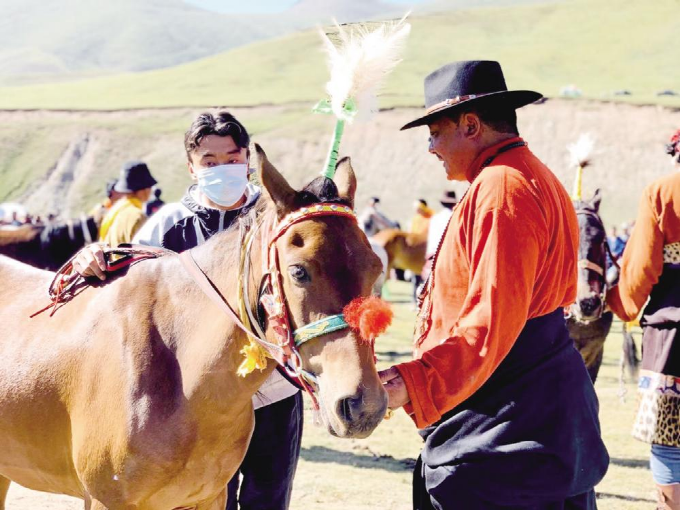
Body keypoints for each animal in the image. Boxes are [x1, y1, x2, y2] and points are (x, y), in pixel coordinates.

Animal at [0, 146, 387, 510]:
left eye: (375, 268)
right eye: (298, 271)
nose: (364, 404)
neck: (181, 373)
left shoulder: (209, 497)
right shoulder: (105, 500)